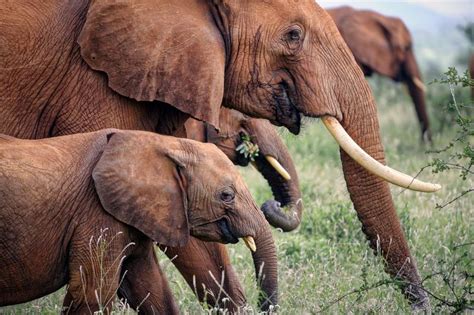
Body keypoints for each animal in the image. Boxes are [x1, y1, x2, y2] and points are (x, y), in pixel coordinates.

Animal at [0, 129, 278, 314]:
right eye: (226, 196)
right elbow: (92, 294)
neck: (162, 143)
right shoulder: (96, 215)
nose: (263, 305)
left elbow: (151, 290)